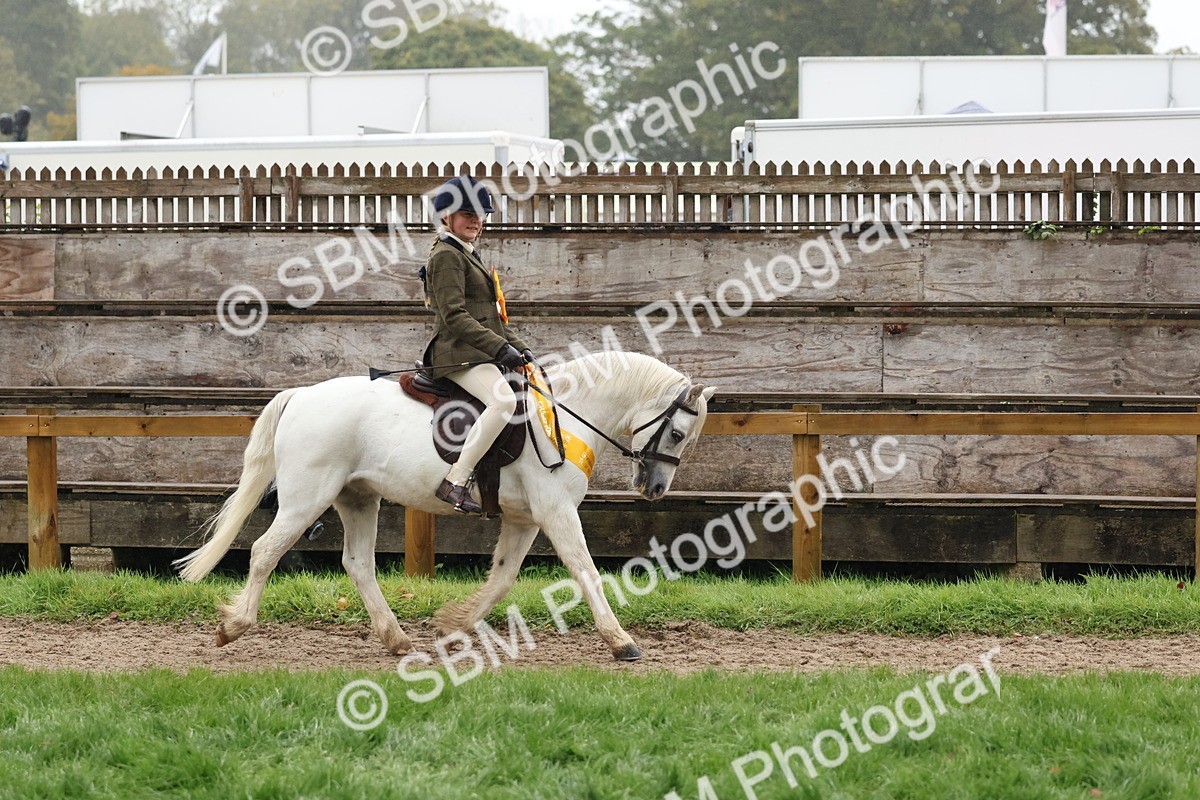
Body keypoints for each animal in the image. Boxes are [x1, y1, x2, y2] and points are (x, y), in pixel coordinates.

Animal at [173, 351, 716, 661]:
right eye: (678, 433)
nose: (656, 488)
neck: (563, 414)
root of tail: (301, 396)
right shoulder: (557, 512)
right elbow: (585, 571)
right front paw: (621, 641)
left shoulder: (525, 519)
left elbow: (502, 578)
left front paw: (455, 625)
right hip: (307, 498)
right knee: (265, 552)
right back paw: (233, 627)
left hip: (358, 498)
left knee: (358, 563)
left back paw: (396, 639)